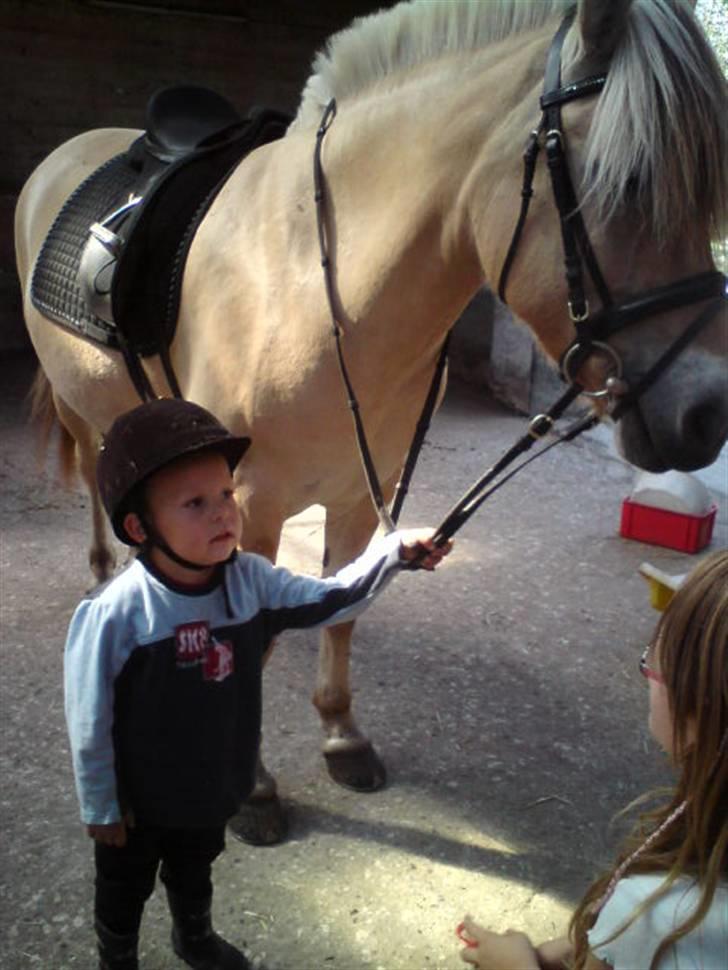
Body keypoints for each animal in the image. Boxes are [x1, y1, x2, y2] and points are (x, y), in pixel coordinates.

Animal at [12, 0, 728, 840]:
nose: (708, 414)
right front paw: (254, 789)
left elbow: (343, 611)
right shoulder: (248, 503)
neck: (311, 281)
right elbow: (247, 638)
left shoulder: (362, 493)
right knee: (100, 476)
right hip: (82, 406)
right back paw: (105, 574)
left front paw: (341, 735)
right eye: (632, 184)